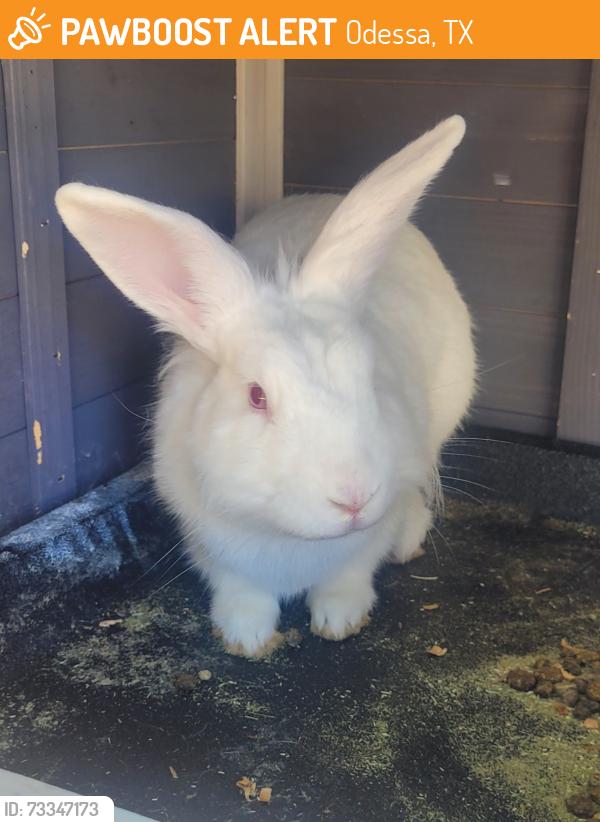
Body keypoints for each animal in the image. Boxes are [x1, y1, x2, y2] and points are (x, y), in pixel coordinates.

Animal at [55, 115, 476, 659]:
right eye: (257, 397)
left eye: (370, 377)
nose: (354, 499)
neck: (292, 538)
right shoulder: (209, 542)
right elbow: (241, 592)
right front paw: (245, 637)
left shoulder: (371, 531)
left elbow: (350, 575)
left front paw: (340, 619)